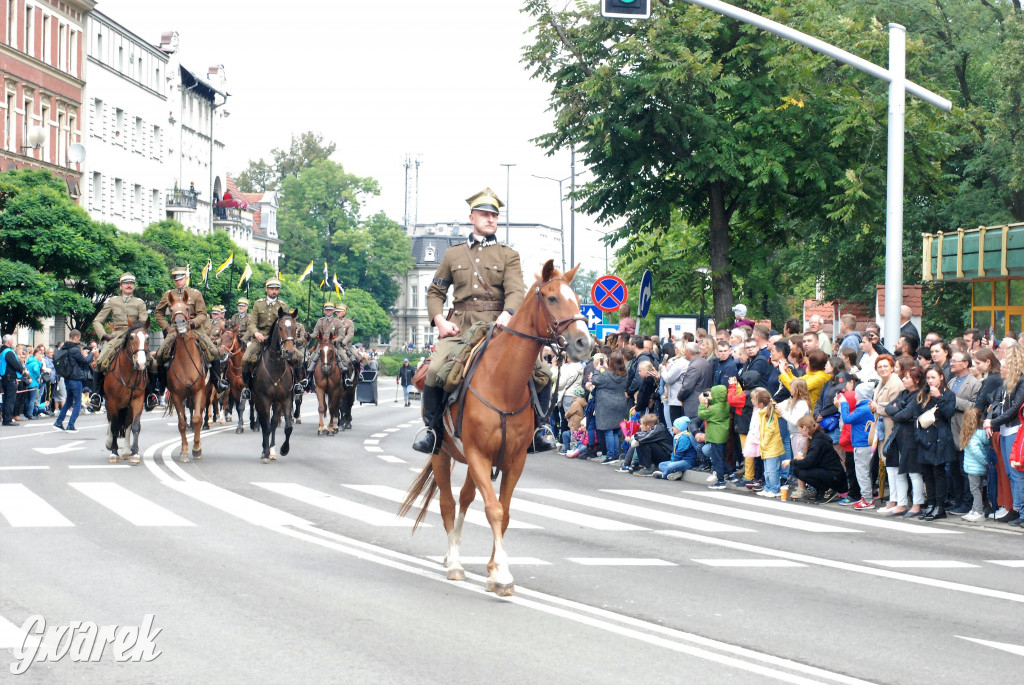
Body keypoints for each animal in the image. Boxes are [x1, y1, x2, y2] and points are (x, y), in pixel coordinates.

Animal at [101, 321, 149, 464]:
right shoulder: (112, 401)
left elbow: (135, 426)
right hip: (110, 404)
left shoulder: (137, 401)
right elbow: (115, 426)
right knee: (111, 421)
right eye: (132, 337)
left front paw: (134, 453)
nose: (141, 363)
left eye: (147, 338)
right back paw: (109, 443)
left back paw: (127, 451)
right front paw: (114, 452)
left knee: (127, 424)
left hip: (127, 406)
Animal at [164, 290, 210, 462]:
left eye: (187, 308)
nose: (180, 323)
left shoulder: (199, 392)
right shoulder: (176, 395)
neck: (185, 362)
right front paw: (184, 452)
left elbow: (197, 418)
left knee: (200, 415)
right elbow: (182, 422)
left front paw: (196, 449)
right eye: (171, 309)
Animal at [249, 307, 299, 462]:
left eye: (295, 328)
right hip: (257, 400)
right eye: (281, 327)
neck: (275, 367)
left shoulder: (285, 399)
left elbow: (287, 427)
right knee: (264, 422)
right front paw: (265, 452)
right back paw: (265, 450)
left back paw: (272, 450)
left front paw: (284, 449)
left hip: (276, 403)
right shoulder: (264, 399)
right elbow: (265, 426)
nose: (289, 352)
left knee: (273, 422)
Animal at [399, 260, 593, 593]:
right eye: (552, 298)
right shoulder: (478, 454)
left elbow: (505, 512)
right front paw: (501, 573)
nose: (584, 343)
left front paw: (493, 569)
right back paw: (454, 563)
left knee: (466, 498)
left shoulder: (514, 459)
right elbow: (493, 509)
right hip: (442, 454)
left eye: (579, 299)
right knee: (449, 503)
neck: (503, 382)